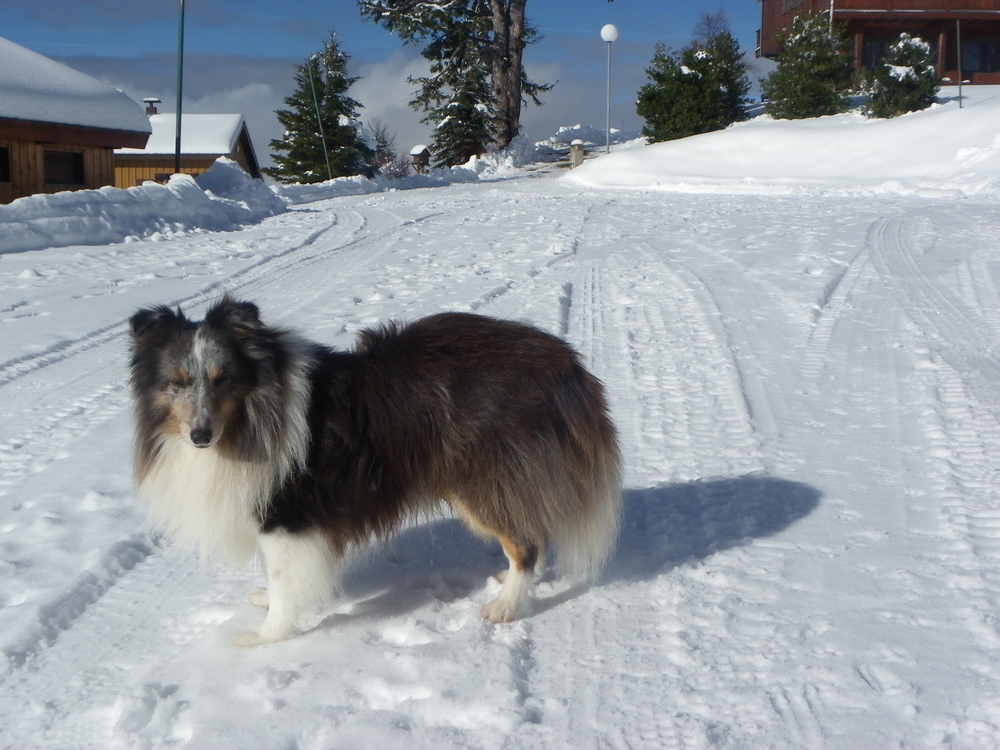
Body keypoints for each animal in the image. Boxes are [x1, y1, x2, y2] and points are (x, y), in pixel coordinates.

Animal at [129, 298, 620, 648]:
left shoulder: (287, 516)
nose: (200, 436)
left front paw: (265, 635)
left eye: (222, 378)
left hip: (482, 480)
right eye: (176, 382)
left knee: (527, 543)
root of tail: (563, 360)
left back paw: (505, 605)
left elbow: (284, 582)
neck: (250, 416)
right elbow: (274, 575)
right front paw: (263, 599)